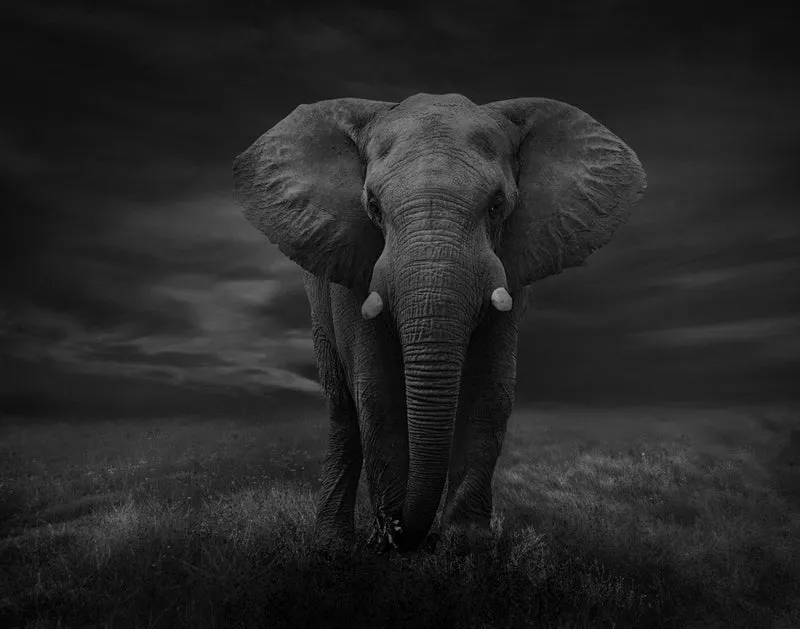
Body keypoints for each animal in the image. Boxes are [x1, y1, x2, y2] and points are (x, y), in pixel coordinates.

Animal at [233, 93, 646, 552]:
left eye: (497, 205)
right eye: (373, 206)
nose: (403, 531)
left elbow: (490, 389)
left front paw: (466, 545)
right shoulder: (352, 261)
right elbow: (376, 390)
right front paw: (392, 542)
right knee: (342, 409)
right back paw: (332, 548)